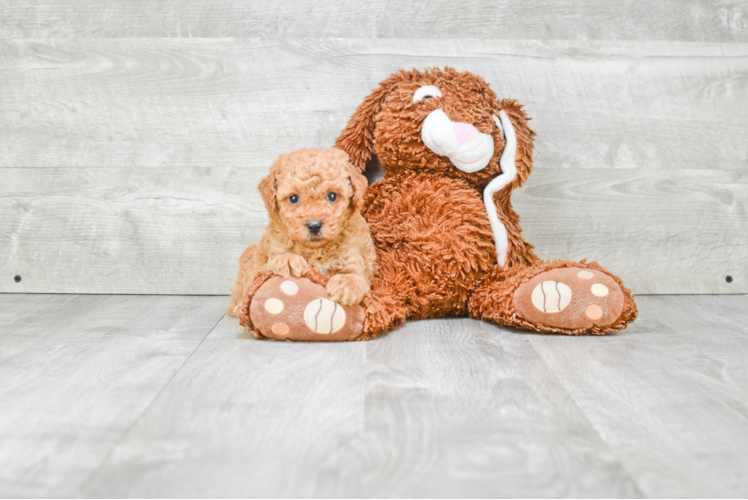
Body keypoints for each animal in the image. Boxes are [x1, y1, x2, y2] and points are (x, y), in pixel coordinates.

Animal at [225, 147, 376, 316]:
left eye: (332, 196)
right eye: (293, 198)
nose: (314, 225)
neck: (316, 249)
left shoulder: (352, 256)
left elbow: (355, 274)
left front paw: (347, 284)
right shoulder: (269, 256)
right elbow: (275, 261)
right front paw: (289, 259)